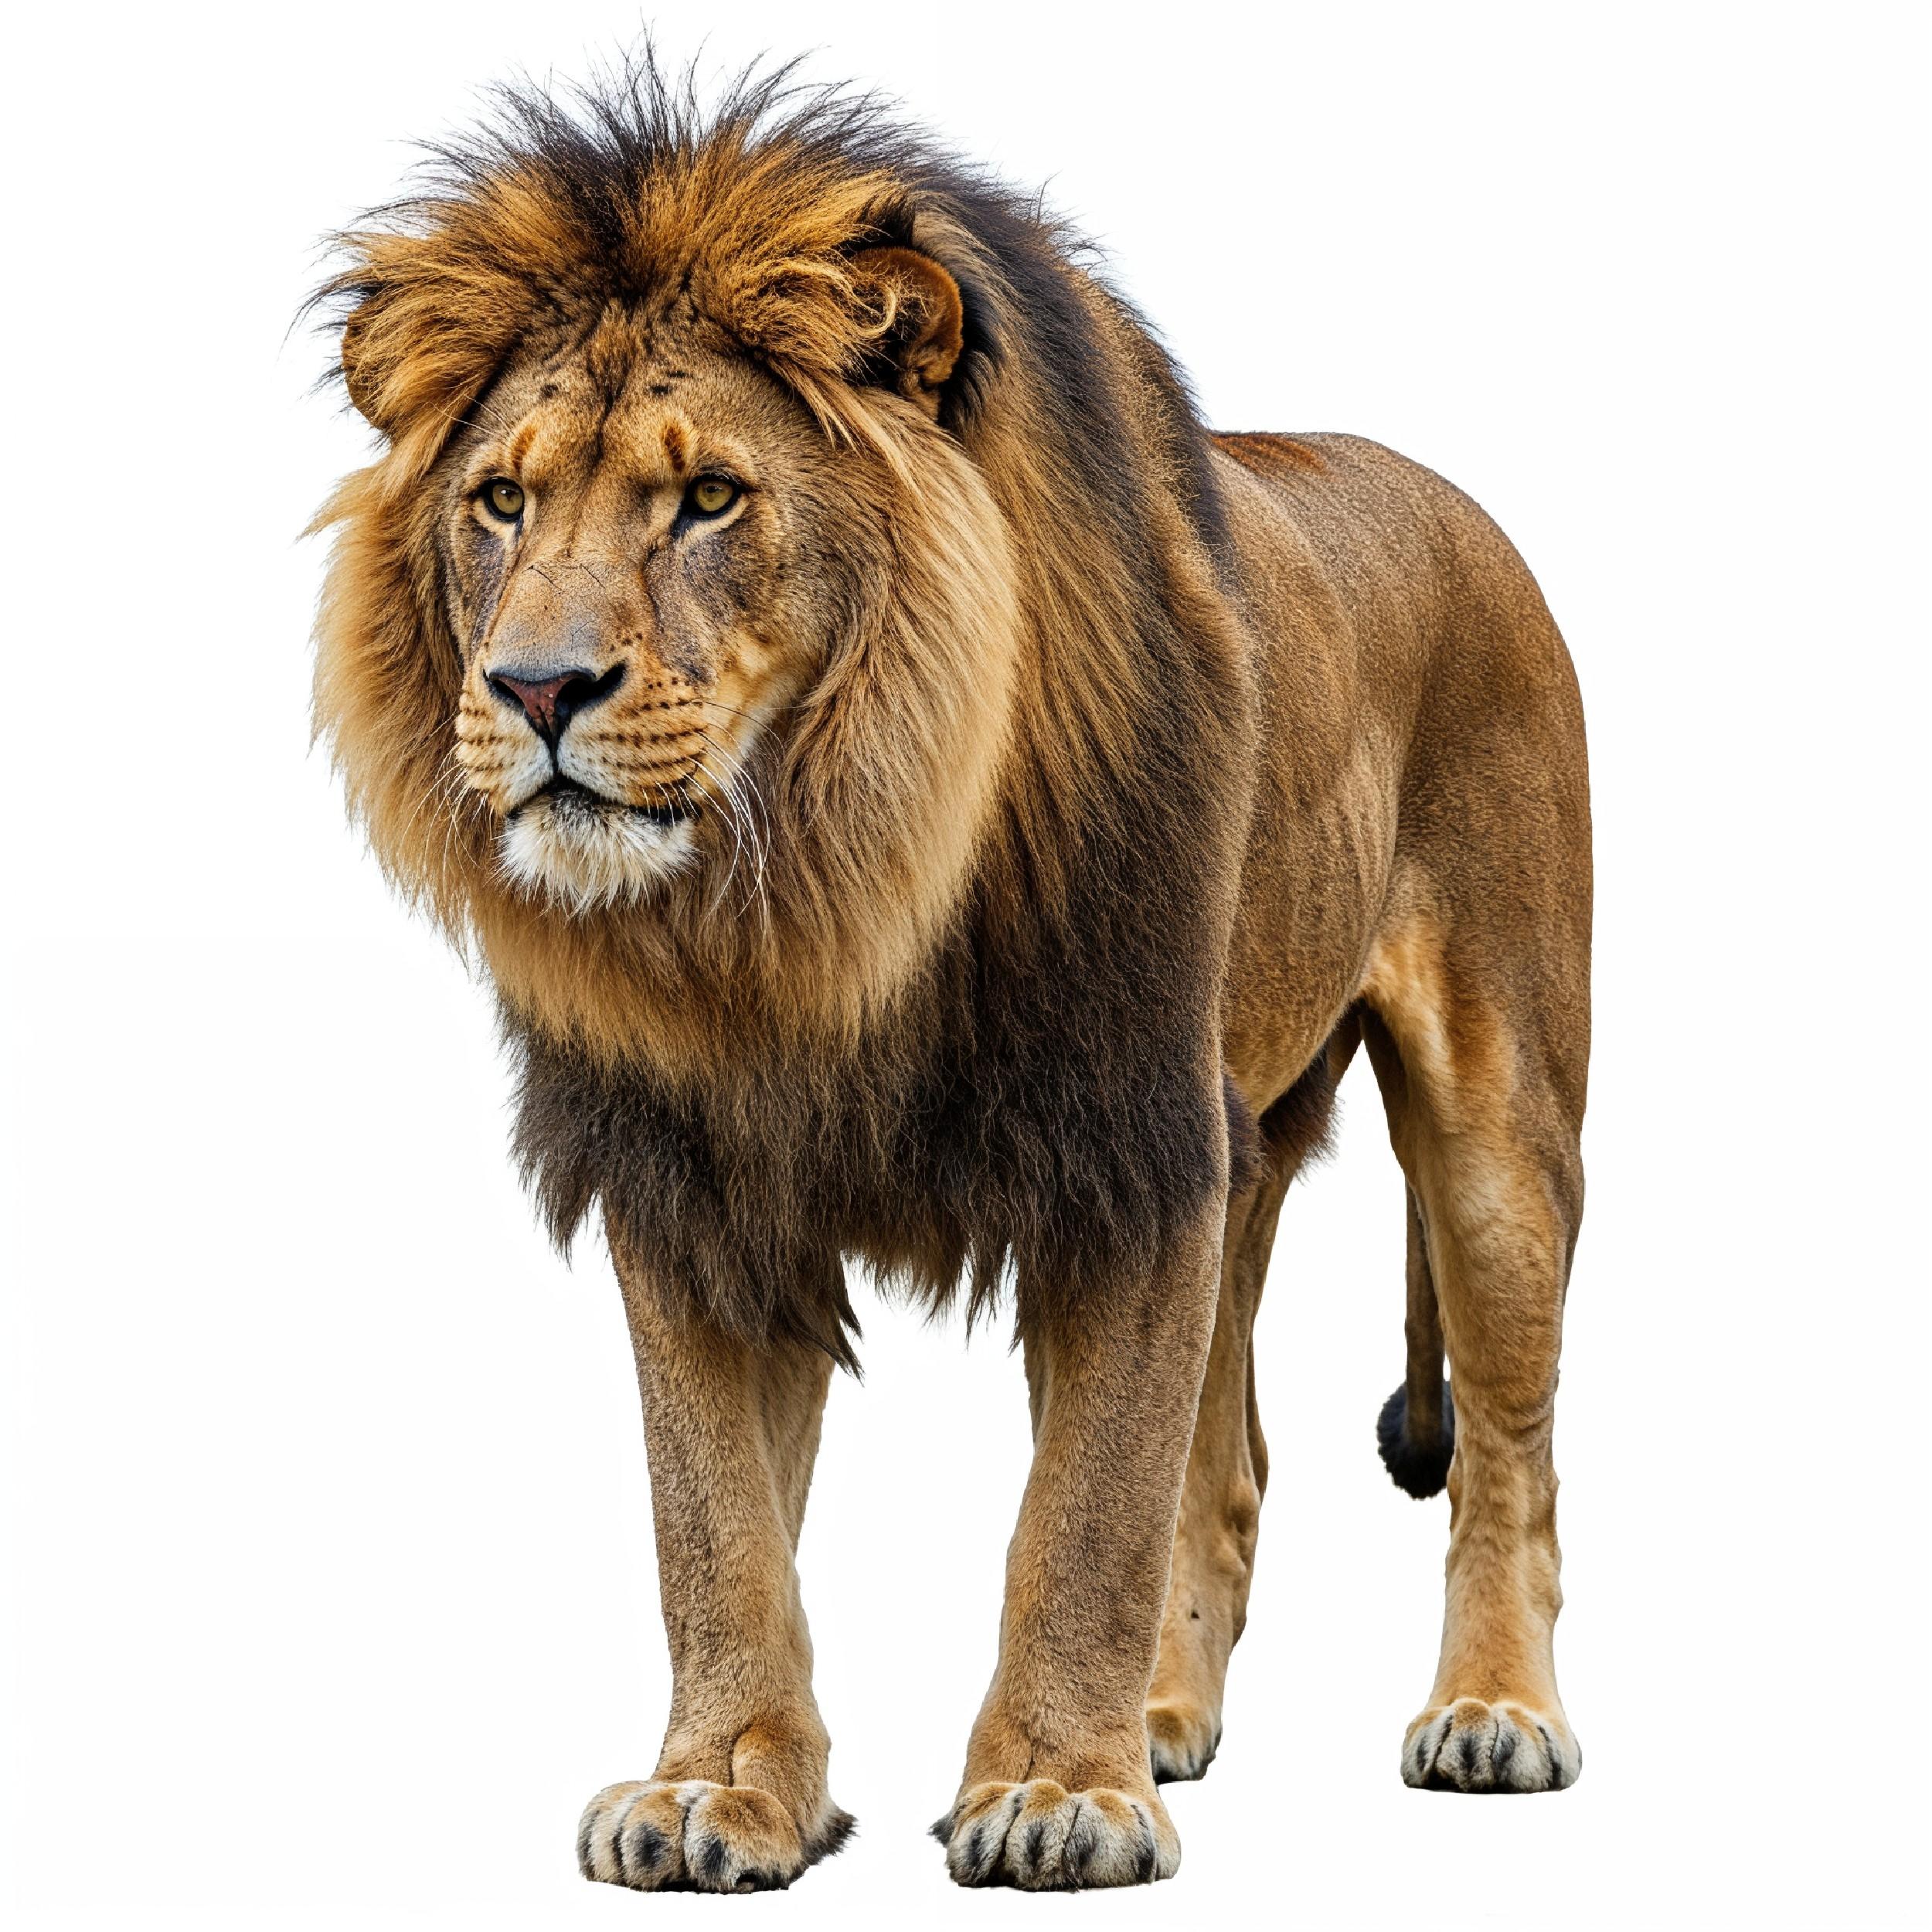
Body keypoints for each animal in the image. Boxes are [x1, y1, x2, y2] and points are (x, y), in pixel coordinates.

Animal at [309, 58, 1591, 1893]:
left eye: (710, 498)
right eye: (501, 501)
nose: (537, 689)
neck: (808, 890)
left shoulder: (1128, 1141)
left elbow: (1083, 1513)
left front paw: (1056, 1792)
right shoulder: (685, 1172)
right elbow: (711, 1522)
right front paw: (719, 1786)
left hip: (1496, 1124)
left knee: (1507, 1447)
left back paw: (1488, 1712)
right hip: (1249, 1151)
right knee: (1230, 1463)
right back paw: (1164, 1716)